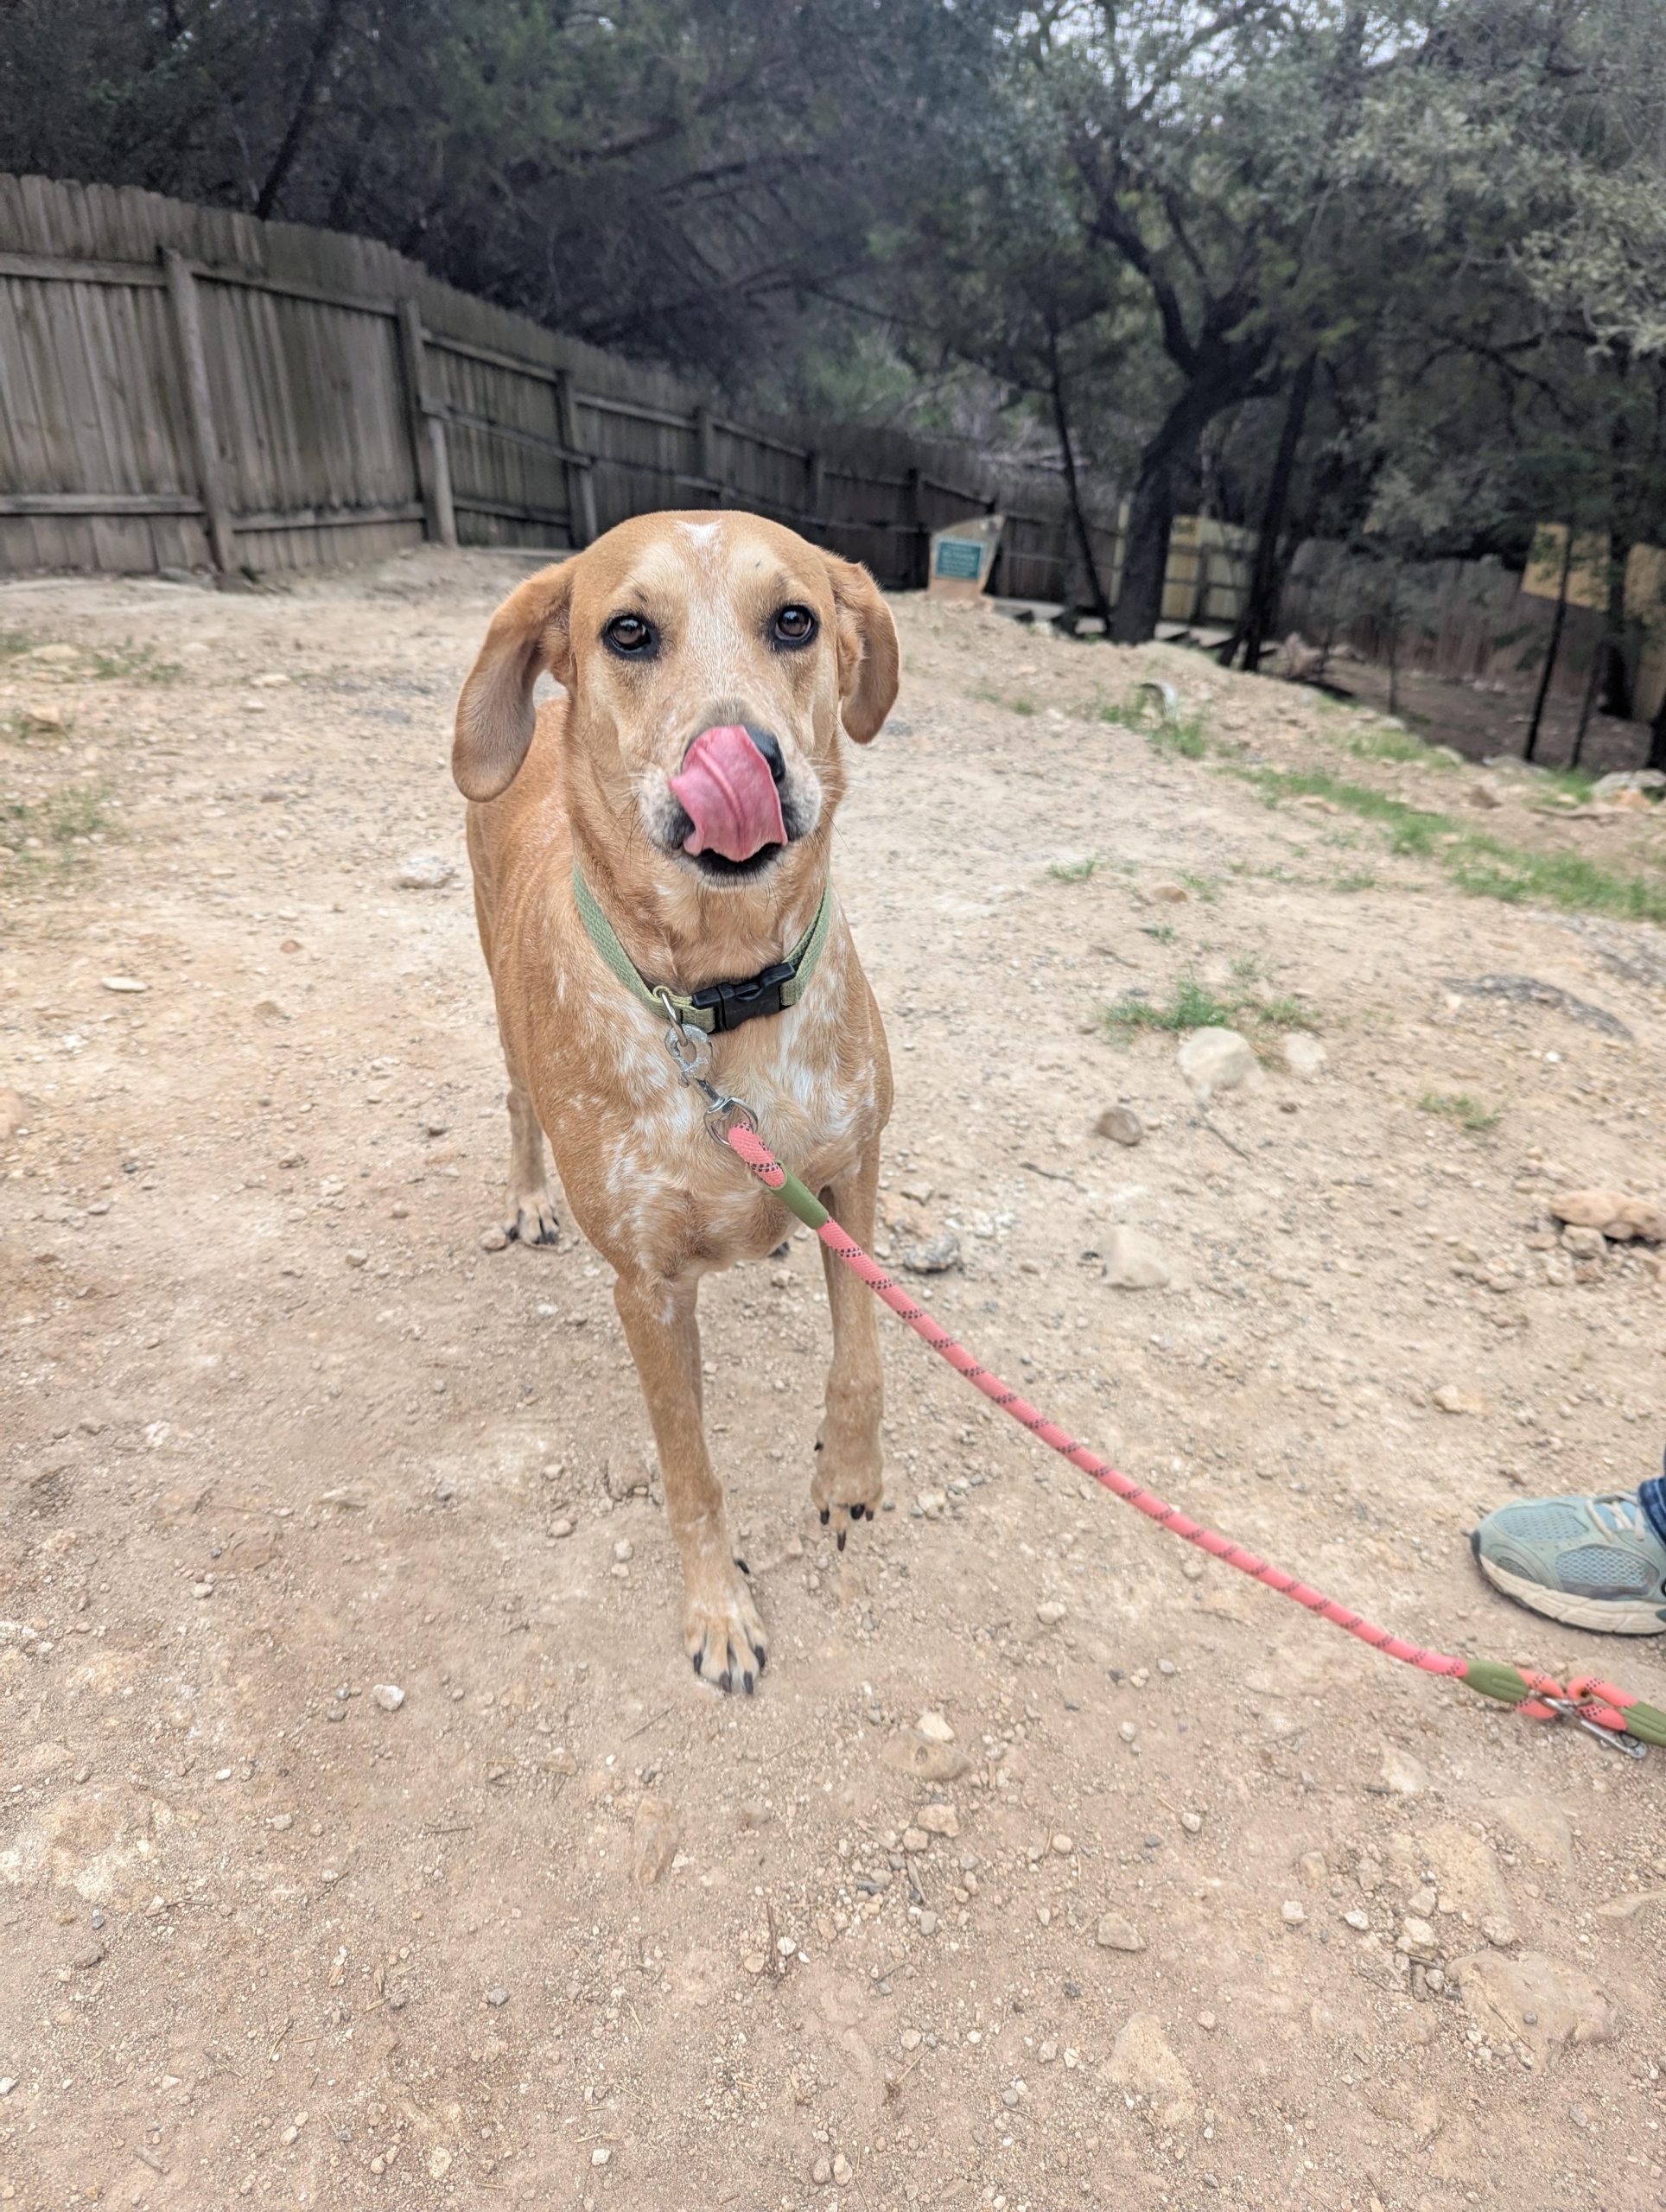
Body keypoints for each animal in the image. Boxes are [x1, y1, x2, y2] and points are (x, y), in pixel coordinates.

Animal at [453, 511, 901, 1691]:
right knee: (514, 1102)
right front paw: (718, 1611)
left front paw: (848, 1476)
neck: (722, 1003)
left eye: (793, 619)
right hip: (502, 1009)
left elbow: (861, 1354)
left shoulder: (855, 1167)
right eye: (628, 631)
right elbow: (690, 1470)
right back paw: (527, 1199)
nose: (745, 761)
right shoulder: (646, 1292)